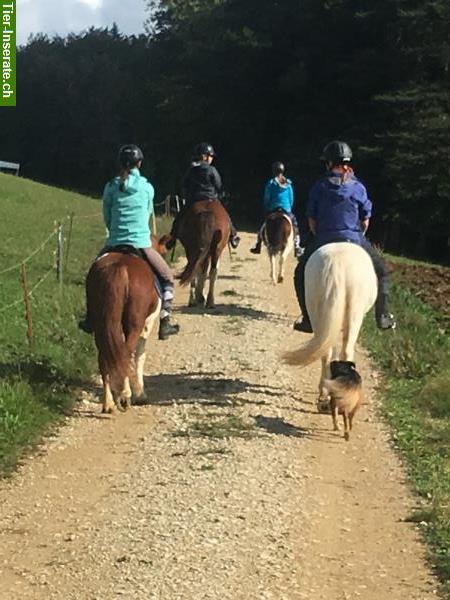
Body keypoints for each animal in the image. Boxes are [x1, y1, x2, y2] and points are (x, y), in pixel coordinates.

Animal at [85, 252, 161, 412]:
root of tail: (120, 268)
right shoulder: (147, 325)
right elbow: (140, 356)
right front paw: (140, 395)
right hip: (134, 326)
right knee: (126, 354)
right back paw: (125, 395)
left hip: (101, 326)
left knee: (104, 358)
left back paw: (108, 403)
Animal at [286, 244, 378, 426]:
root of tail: (338, 264)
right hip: (354, 314)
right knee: (343, 351)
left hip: (320, 313)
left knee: (328, 352)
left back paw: (325, 398)